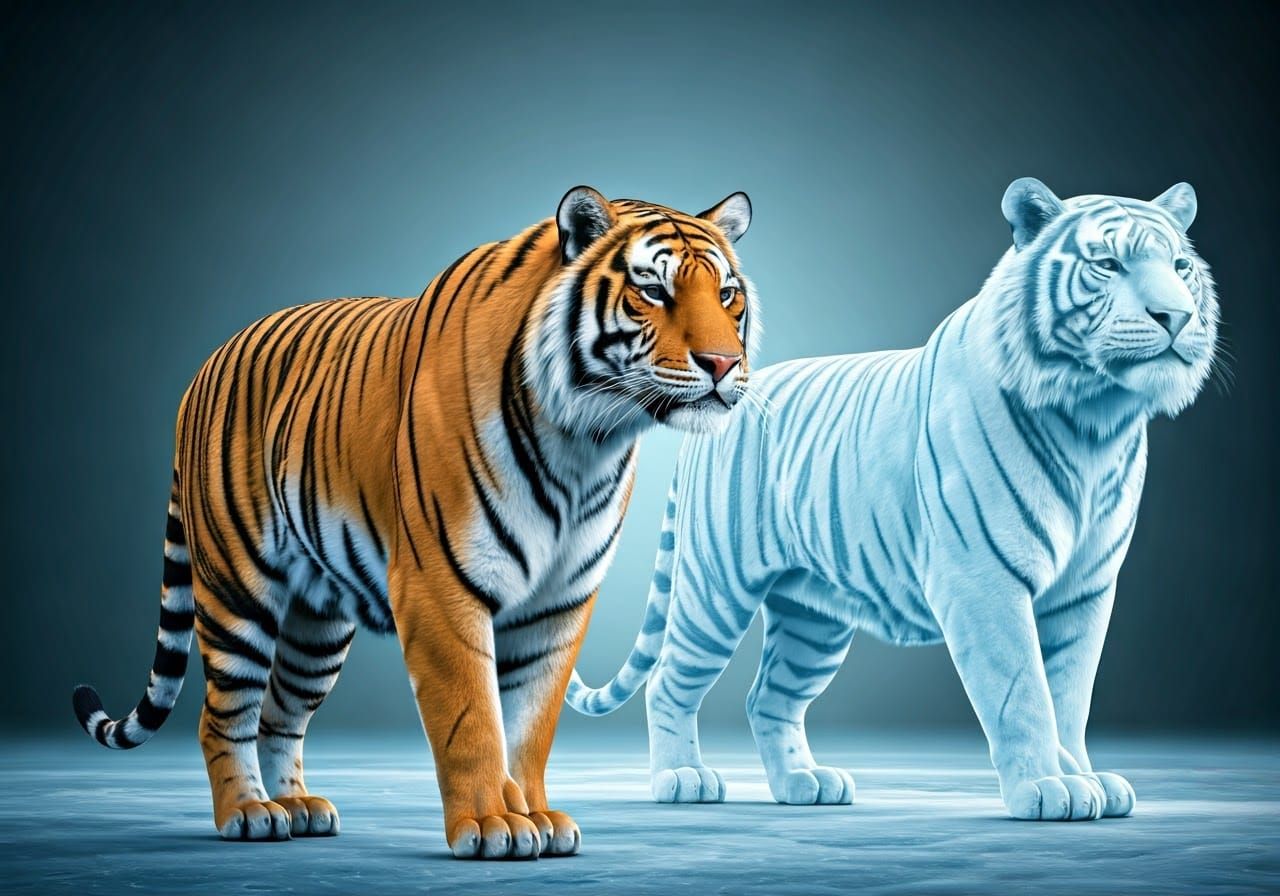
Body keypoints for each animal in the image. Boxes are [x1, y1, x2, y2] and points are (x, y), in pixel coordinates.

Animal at [72, 185, 758, 859]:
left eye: (727, 294)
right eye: (653, 291)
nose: (724, 364)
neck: (586, 441)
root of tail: (205, 366)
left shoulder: (559, 602)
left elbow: (529, 724)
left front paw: (536, 814)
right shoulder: (440, 586)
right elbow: (472, 718)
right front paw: (493, 824)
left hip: (317, 625)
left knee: (279, 715)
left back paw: (298, 808)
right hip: (238, 592)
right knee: (223, 714)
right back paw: (247, 812)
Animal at [567, 179, 1219, 822]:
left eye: (1180, 266)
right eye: (1107, 264)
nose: (1176, 316)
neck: (1095, 420)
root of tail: (728, 404)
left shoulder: (1086, 589)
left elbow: (1070, 696)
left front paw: (1084, 778)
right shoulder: (986, 582)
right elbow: (1024, 692)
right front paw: (1046, 787)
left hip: (813, 617)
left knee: (768, 698)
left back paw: (804, 782)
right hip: (716, 588)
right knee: (671, 681)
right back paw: (683, 778)